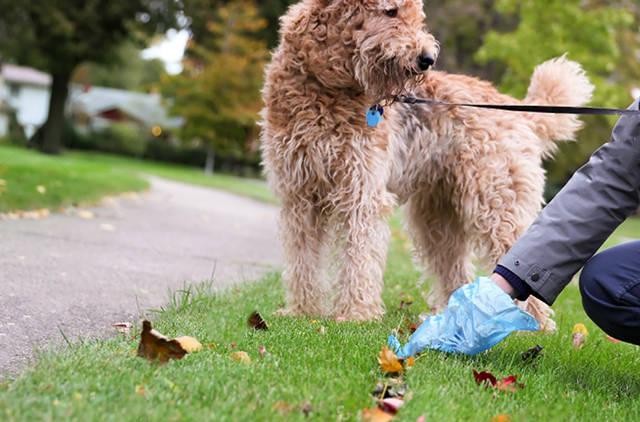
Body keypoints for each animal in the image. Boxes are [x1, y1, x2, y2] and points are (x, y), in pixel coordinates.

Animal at [260, 0, 596, 324]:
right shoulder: (299, 194)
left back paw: (533, 327)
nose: (426, 59)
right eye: (391, 11)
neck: (325, 85)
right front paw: (302, 311)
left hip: (497, 202)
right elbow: (302, 258)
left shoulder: (362, 192)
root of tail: (518, 109)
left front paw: (355, 314)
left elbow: (359, 256)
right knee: (455, 269)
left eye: (417, 16)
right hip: (438, 217)